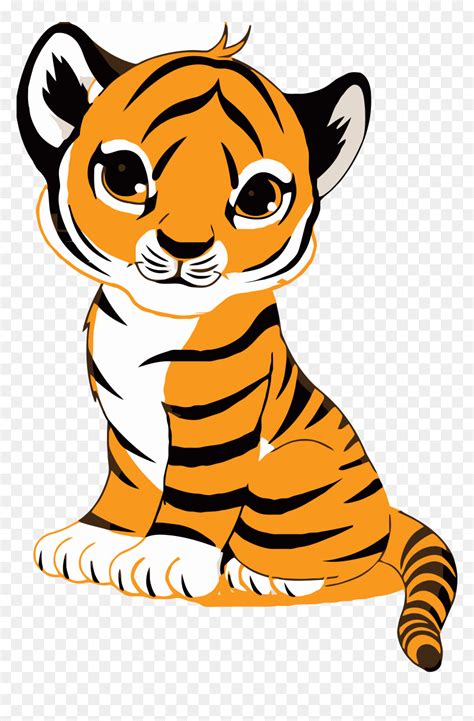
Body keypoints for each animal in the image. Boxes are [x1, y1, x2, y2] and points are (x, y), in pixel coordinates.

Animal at [17, 22, 457, 672]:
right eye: (124, 176)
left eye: (258, 198)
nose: (183, 245)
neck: (153, 320)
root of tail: (386, 510)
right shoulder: (119, 421)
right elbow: (126, 480)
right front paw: (98, 537)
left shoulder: (217, 418)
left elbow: (198, 491)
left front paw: (165, 556)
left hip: (297, 467)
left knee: (337, 558)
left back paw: (265, 576)